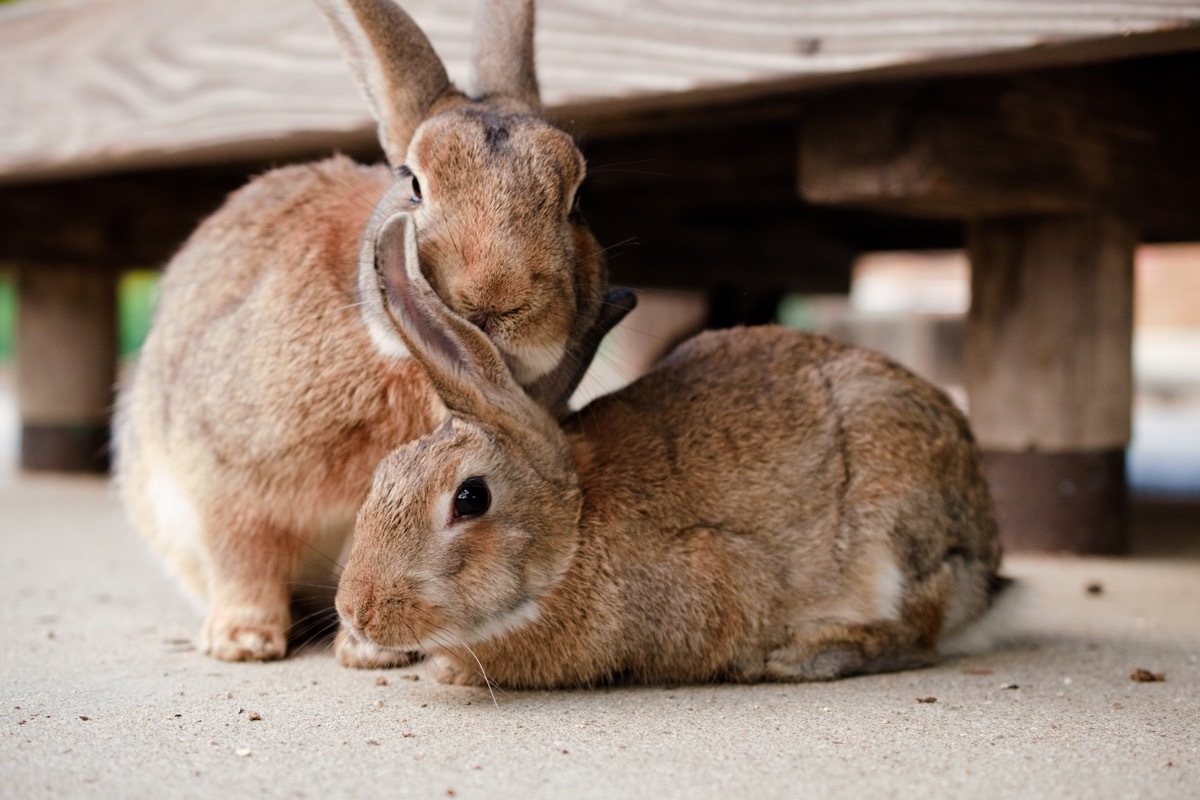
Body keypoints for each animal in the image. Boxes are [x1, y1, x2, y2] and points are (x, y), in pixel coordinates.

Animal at [113, 0, 633, 662]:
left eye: (577, 200)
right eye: (413, 183)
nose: (494, 299)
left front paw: (369, 653)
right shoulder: (227, 474)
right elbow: (243, 556)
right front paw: (243, 641)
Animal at [333, 214, 1008, 690]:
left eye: (471, 498)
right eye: (384, 473)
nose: (357, 611)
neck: (576, 527)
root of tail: (982, 551)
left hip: (893, 525)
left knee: (917, 635)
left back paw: (801, 656)